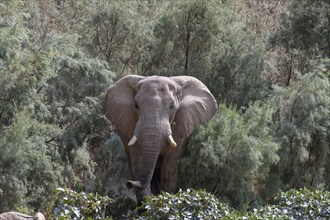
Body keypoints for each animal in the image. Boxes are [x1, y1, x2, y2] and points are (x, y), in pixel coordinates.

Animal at [104, 75, 218, 207]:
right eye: (136, 106)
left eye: (172, 107)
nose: (129, 183)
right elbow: (138, 164)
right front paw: (145, 206)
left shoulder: (180, 131)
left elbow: (168, 170)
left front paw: (165, 201)